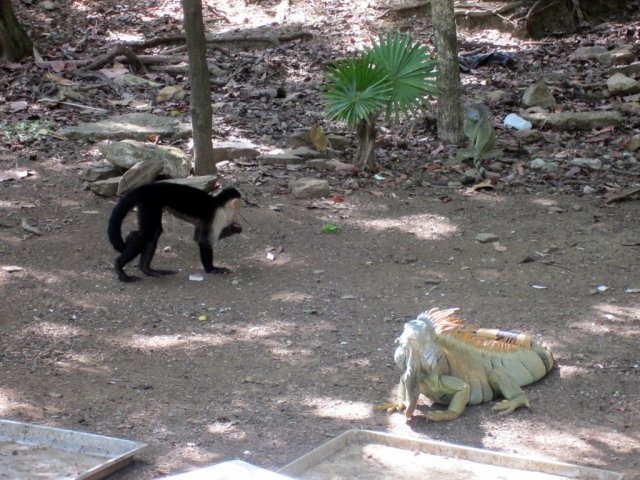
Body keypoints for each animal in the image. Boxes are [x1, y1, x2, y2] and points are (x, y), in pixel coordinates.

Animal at [107, 183, 242, 282]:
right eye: (240, 207)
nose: (239, 214)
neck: (219, 203)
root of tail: (149, 186)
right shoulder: (218, 215)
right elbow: (203, 241)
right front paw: (212, 269)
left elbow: (196, 237)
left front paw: (234, 229)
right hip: (151, 202)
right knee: (148, 234)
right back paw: (120, 267)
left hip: (147, 204)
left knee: (153, 233)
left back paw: (147, 269)